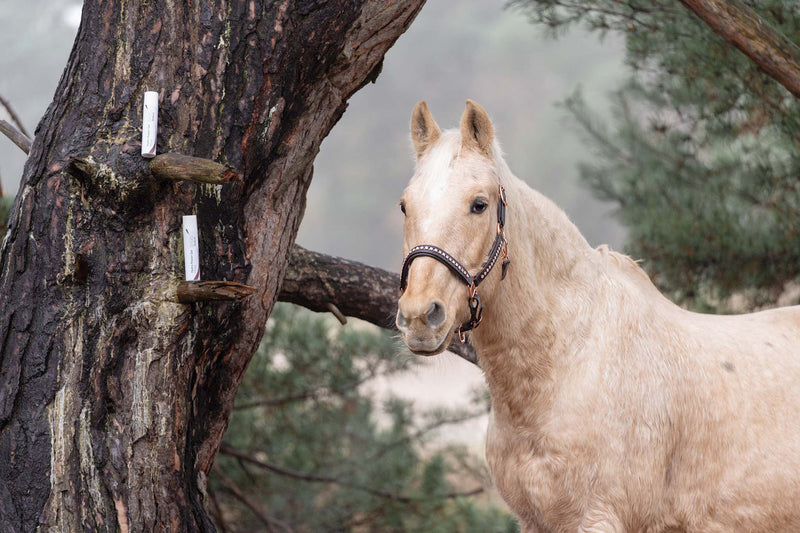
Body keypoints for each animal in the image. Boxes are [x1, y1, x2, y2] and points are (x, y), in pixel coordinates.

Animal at [396, 98, 800, 528]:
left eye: (479, 205)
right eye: (405, 206)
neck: (566, 360)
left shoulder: (598, 517)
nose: (420, 315)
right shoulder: (533, 522)